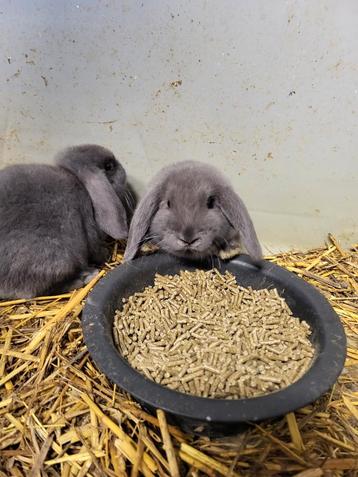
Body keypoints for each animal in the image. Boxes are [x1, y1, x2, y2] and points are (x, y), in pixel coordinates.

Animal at [0, 143, 134, 298]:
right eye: (109, 166)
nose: (124, 169)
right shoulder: (90, 229)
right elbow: (95, 248)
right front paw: (105, 254)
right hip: (57, 259)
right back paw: (86, 277)